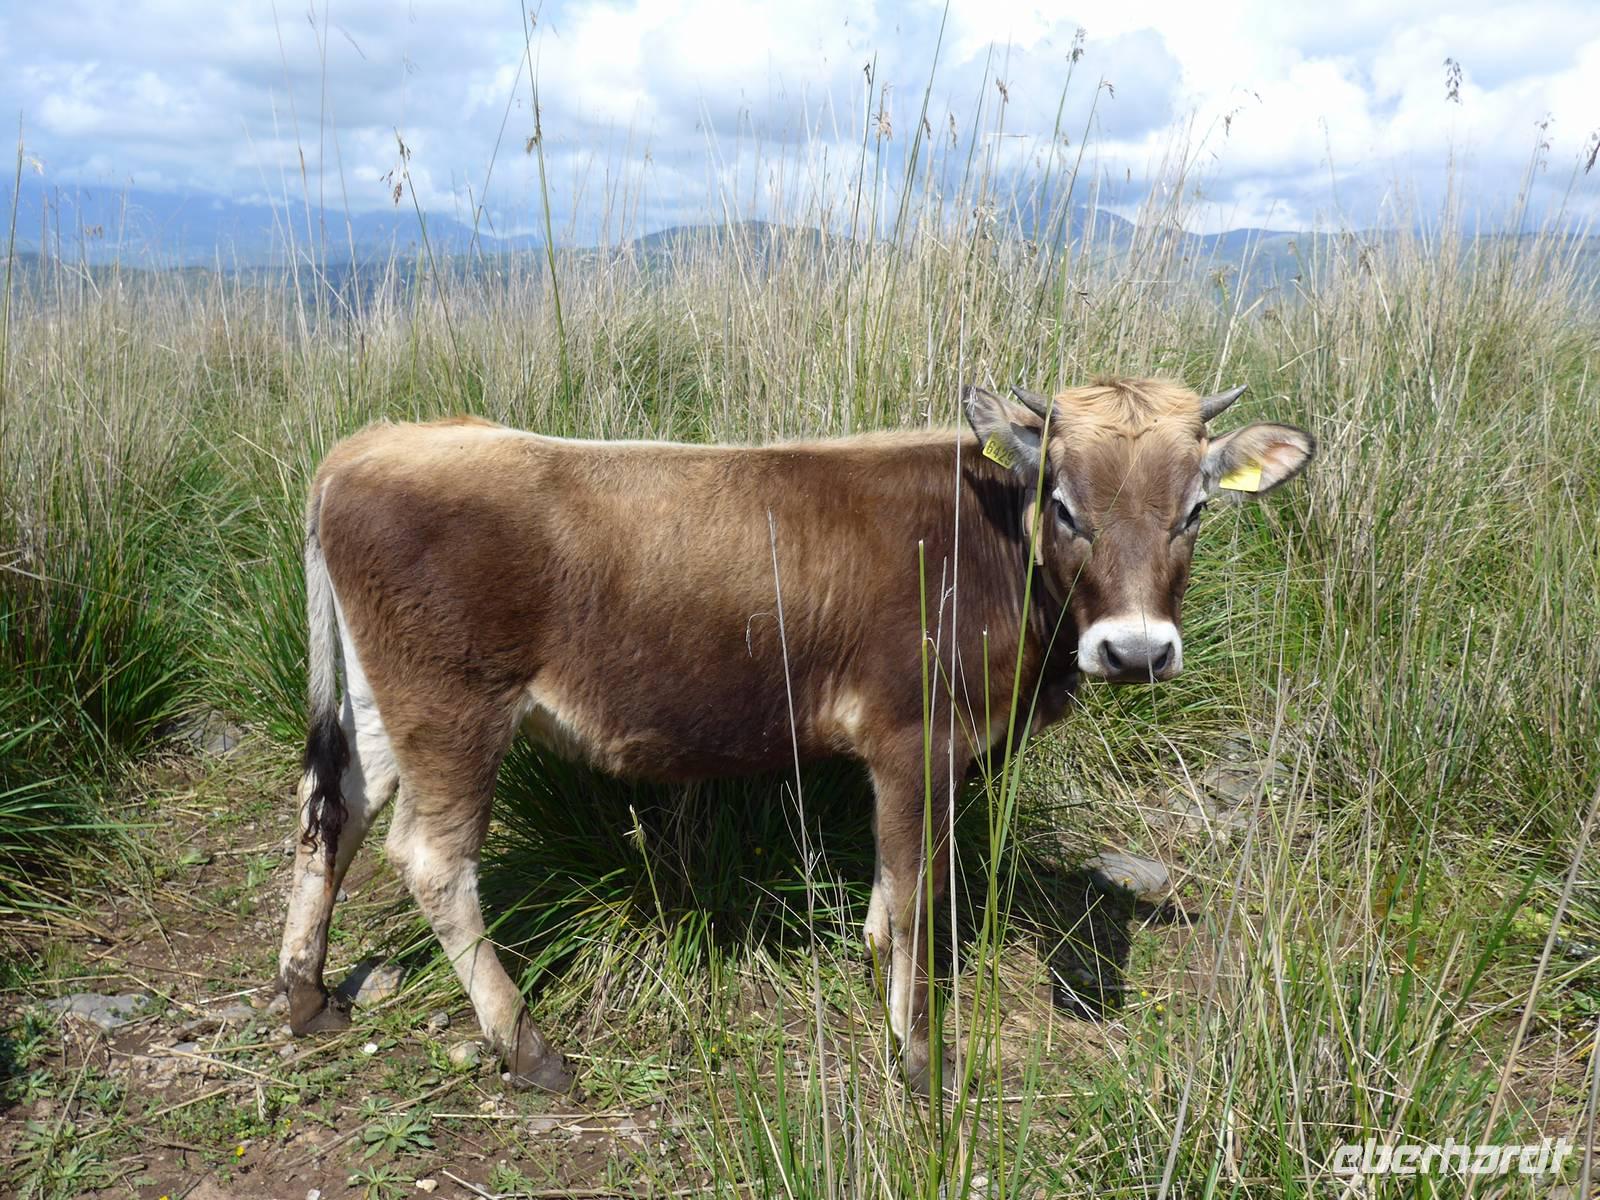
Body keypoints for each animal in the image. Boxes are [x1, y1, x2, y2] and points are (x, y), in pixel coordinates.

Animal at [274, 377, 1314, 1095]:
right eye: (1064, 503)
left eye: (1196, 508)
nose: (1136, 650)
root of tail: (372, 444)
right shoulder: (918, 737)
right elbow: (920, 891)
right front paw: (919, 1052)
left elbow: (891, 891)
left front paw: (874, 965)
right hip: (452, 708)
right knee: (431, 861)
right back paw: (525, 1046)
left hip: (380, 704)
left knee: (334, 812)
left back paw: (304, 994)